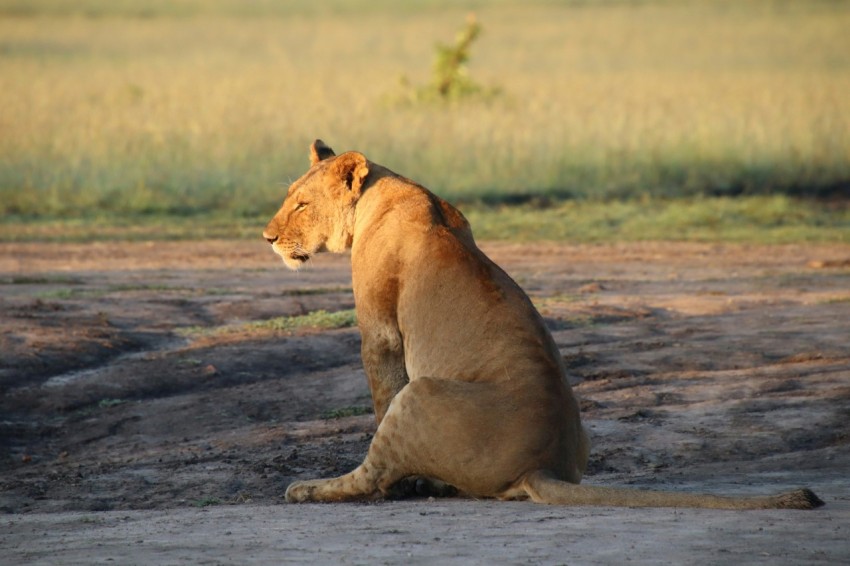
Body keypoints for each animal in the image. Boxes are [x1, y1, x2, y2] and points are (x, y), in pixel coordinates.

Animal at [262, 140, 823, 510]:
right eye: (289, 196)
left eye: (303, 204)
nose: (266, 238)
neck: (386, 191)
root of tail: (542, 464)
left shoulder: (380, 334)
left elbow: (380, 399)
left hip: (421, 394)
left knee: (372, 474)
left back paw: (308, 488)